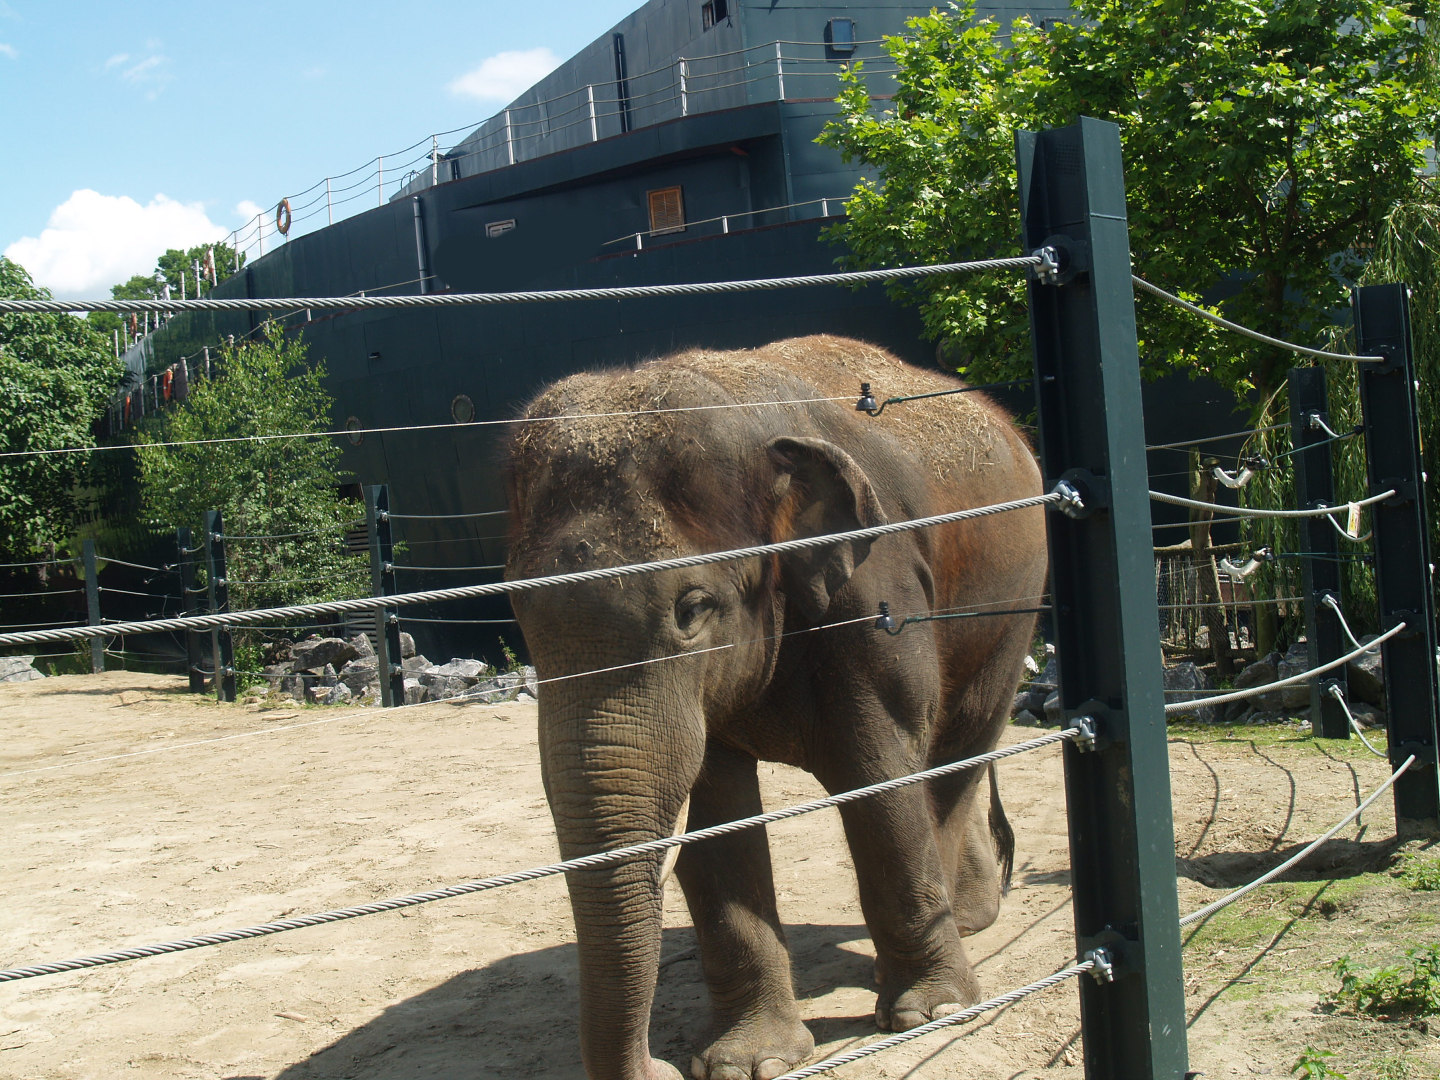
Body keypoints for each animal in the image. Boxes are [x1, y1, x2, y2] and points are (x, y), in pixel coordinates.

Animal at [503, 334, 1048, 1080]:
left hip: (1015, 598)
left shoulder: (874, 592)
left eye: (692, 609)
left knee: (960, 748)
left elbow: (879, 774)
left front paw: (929, 1014)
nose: (660, 1068)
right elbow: (718, 811)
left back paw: (956, 935)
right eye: (518, 612)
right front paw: (746, 1063)